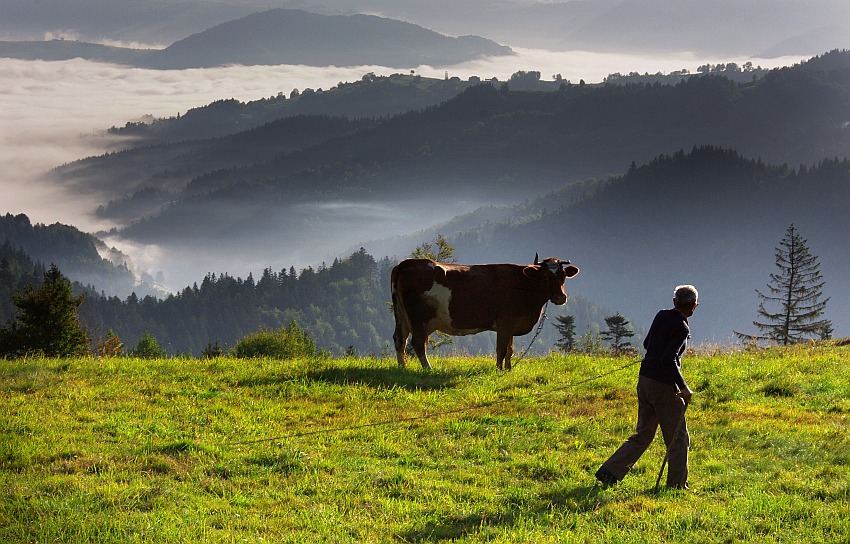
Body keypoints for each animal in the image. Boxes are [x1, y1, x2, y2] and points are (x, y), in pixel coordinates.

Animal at [390, 254, 576, 370]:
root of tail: (406, 263)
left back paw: (402, 367)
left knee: (400, 339)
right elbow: (502, 349)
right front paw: (499, 370)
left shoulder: (511, 325)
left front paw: (508, 369)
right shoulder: (505, 323)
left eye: (563, 276)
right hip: (419, 319)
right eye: (545, 276)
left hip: (401, 316)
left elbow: (510, 349)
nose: (561, 297)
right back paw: (428, 368)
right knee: (418, 343)